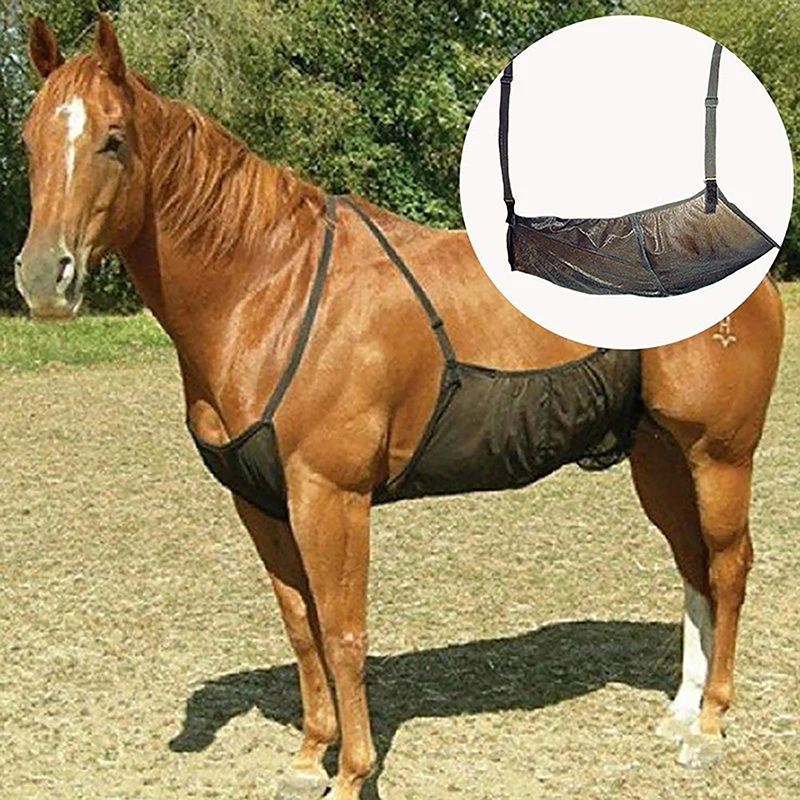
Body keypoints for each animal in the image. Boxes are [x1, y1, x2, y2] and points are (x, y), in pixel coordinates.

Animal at [15, 16, 783, 800]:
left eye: (113, 138)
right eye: (28, 139)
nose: (45, 279)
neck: (271, 290)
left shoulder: (330, 497)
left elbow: (343, 633)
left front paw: (352, 772)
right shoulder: (261, 503)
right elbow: (302, 628)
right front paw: (308, 756)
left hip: (719, 456)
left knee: (729, 567)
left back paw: (711, 726)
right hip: (659, 457)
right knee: (692, 565)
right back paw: (683, 712)